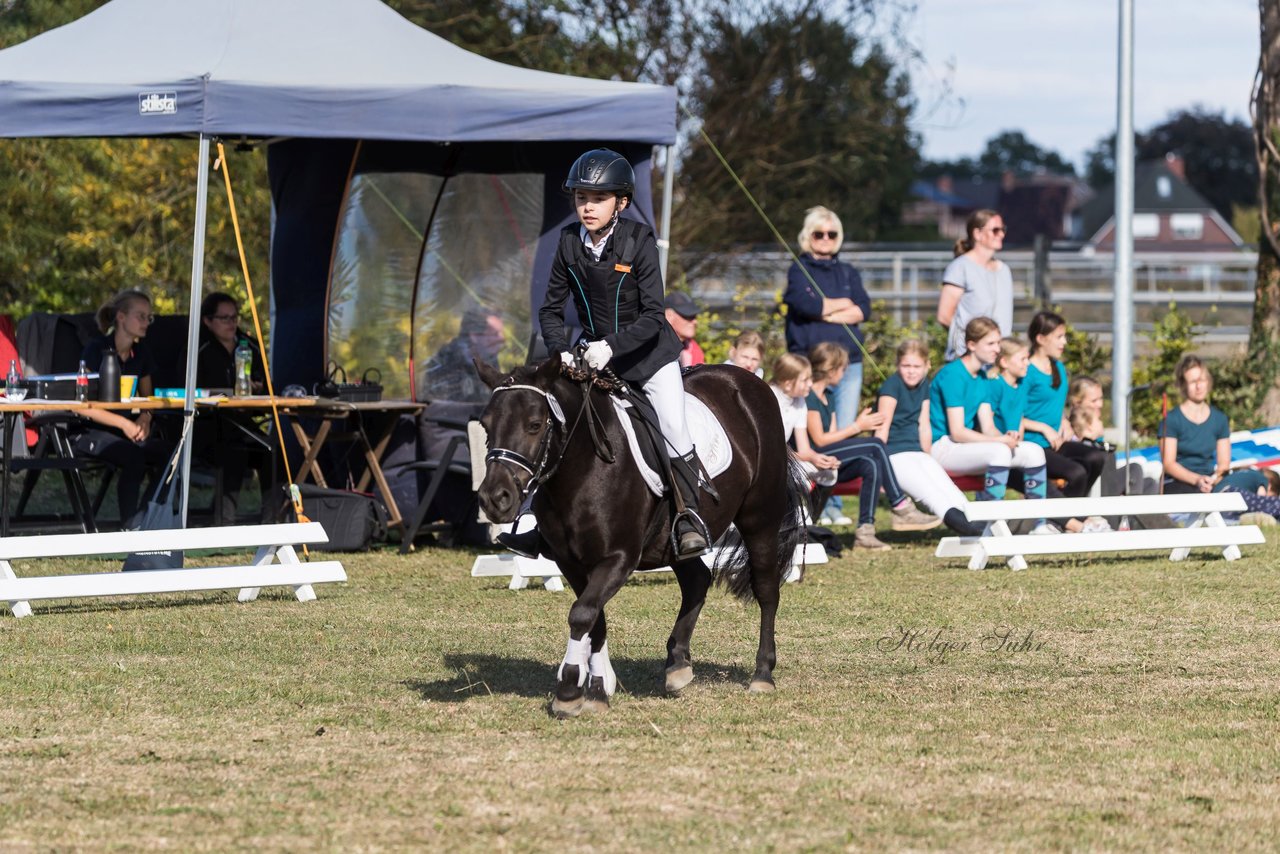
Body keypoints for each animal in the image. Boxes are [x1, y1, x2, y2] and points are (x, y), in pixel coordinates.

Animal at [476, 358, 803, 717]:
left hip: (760, 518)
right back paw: (677, 664)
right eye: (485, 425)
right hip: (673, 544)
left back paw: (762, 674)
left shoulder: (619, 558)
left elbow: (582, 614)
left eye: (535, 425)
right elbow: (594, 619)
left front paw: (569, 690)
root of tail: (748, 381)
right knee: (697, 581)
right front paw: (596, 690)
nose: (495, 499)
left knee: (766, 589)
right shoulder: (570, 562)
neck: (584, 466)